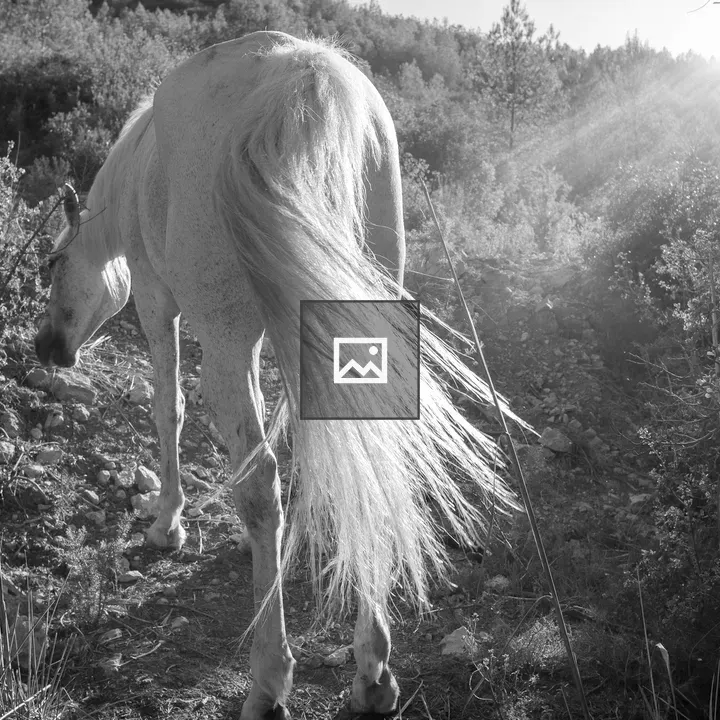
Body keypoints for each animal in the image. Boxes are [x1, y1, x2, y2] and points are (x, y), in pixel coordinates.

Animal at [34, 32, 520, 719]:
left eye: (53, 265)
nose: (47, 347)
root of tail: (303, 77)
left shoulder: (159, 302)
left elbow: (169, 410)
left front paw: (167, 522)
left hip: (227, 338)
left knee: (261, 479)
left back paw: (268, 681)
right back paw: (373, 670)